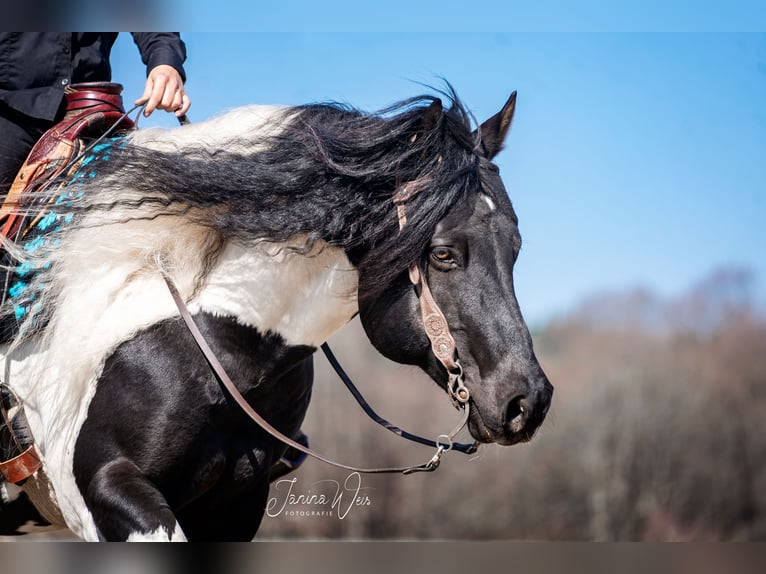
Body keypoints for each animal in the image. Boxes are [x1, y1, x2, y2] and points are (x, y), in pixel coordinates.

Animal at [0, 86, 553, 541]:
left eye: (515, 247)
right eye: (442, 253)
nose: (527, 401)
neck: (212, 346)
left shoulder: (237, 504)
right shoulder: (110, 488)